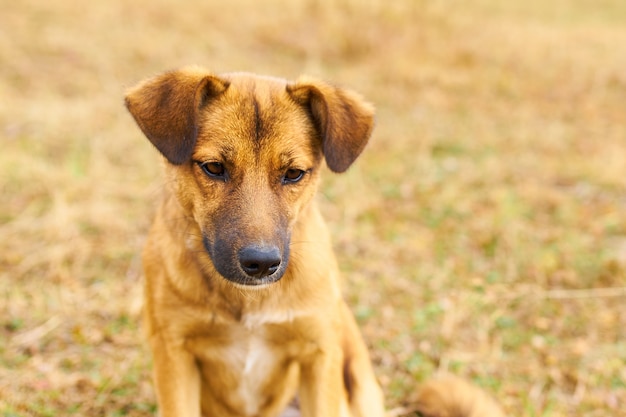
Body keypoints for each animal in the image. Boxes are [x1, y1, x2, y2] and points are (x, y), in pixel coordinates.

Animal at [125, 68, 502, 416]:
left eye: (293, 174)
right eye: (214, 167)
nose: (261, 264)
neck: (248, 302)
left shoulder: (319, 354)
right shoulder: (174, 355)